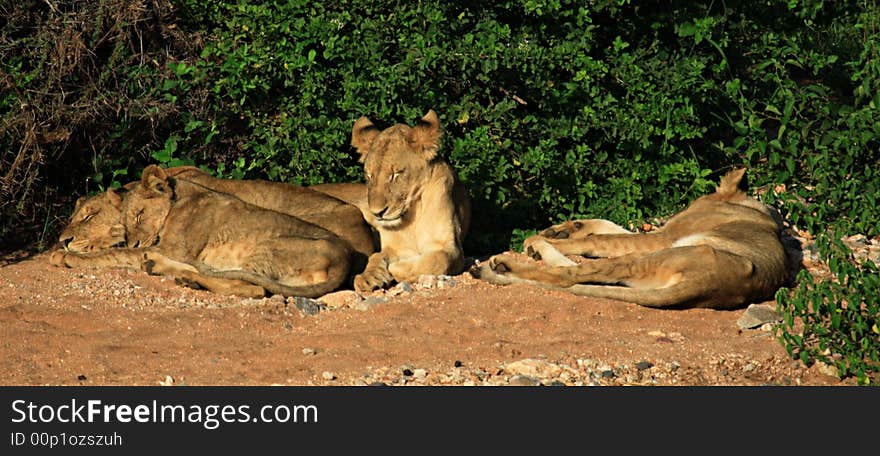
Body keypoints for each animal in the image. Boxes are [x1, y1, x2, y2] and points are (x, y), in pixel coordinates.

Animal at [51, 166, 350, 298]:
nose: (63, 241)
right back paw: (168, 270)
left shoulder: (173, 247)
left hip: (265, 249)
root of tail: (344, 261)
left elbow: (117, 254)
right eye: (126, 220)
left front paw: (67, 257)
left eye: (139, 214)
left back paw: (173, 272)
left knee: (251, 288)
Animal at [348, 108, 474, 290]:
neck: (411, 216)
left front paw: (396, 268)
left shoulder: (451, 247)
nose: (377, 213)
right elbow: (376, 256)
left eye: (396, 174)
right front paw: (369, 277)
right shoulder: (394, 247)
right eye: (369, 176)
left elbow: (437, 260)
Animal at [474, 168, 792, 310]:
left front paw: (546, 238)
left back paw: (511, 260)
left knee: (568, 275)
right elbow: (609, 226)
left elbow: (601, 240)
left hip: (656, 255)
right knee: (578, 272)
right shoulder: (658, 234)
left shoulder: (662, 237)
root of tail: (709, 286)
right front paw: (565, 228)